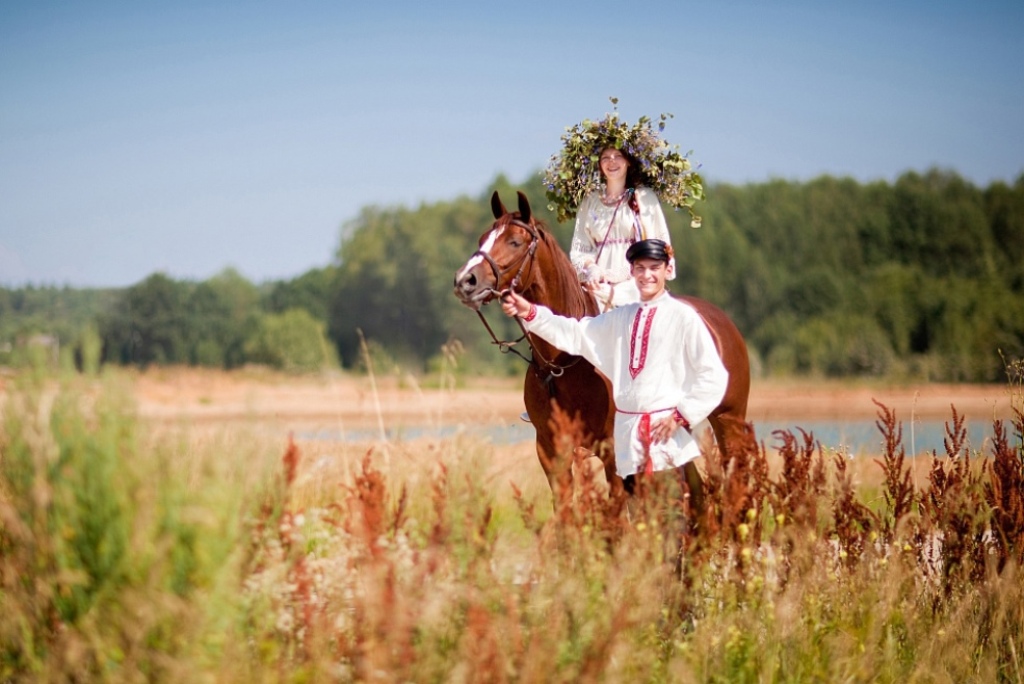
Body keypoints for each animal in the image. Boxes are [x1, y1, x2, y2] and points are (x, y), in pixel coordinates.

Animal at [453, 190, 751, 502]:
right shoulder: (550, 451)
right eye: (482, 239)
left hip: (729, 421)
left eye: (514, 241)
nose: (465, 281)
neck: (563, 362)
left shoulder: (612, 451)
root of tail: (722, 321)